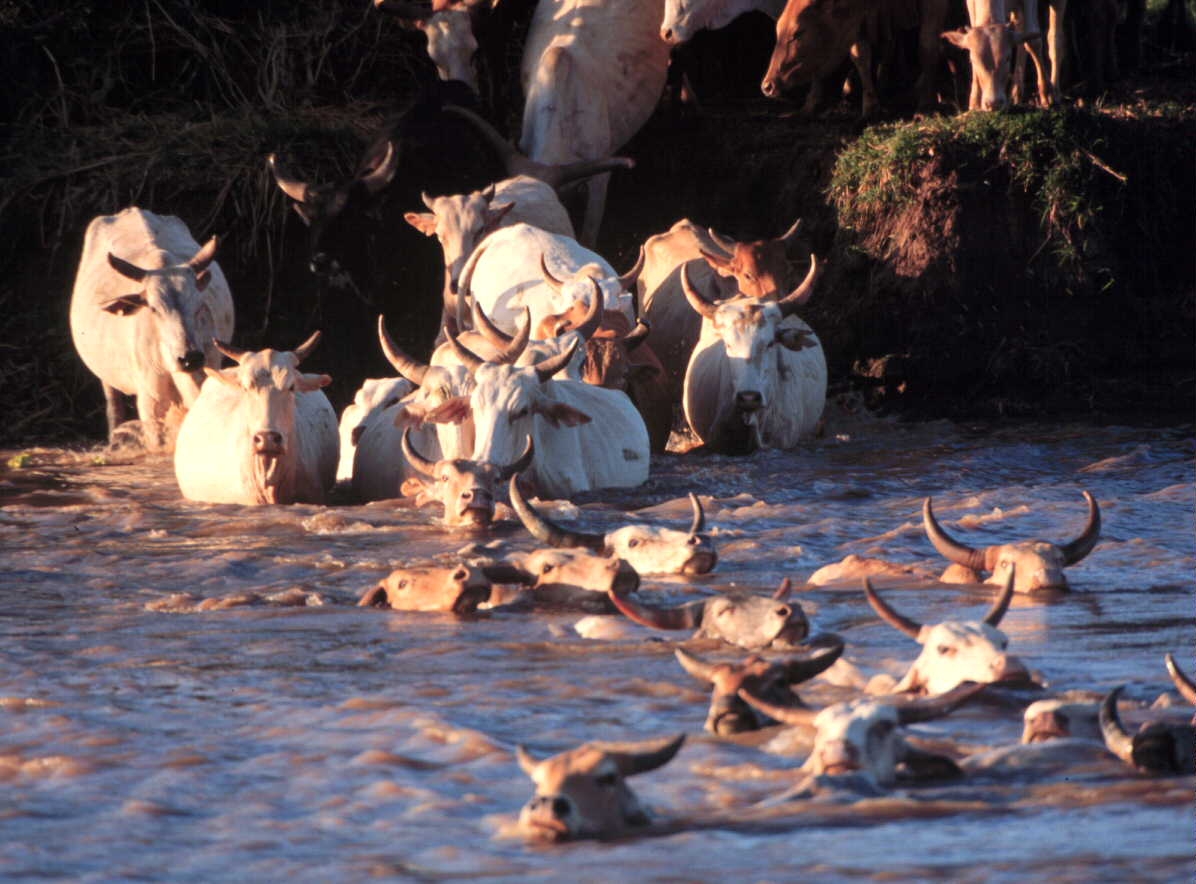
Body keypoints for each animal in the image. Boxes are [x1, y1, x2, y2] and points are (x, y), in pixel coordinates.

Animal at [69, 208, 234, 451]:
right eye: (154, 309)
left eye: (198, 305)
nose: (189, 358)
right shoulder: (152, 404)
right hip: (106, 377)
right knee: (114, 407)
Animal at [761, 0, 950, 116]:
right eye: (777, 29)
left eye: (798, 33)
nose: (767, 86)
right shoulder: (860, 19)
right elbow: (860, 56)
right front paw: (870, 106)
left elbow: (927, 47)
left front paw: (925, 105)